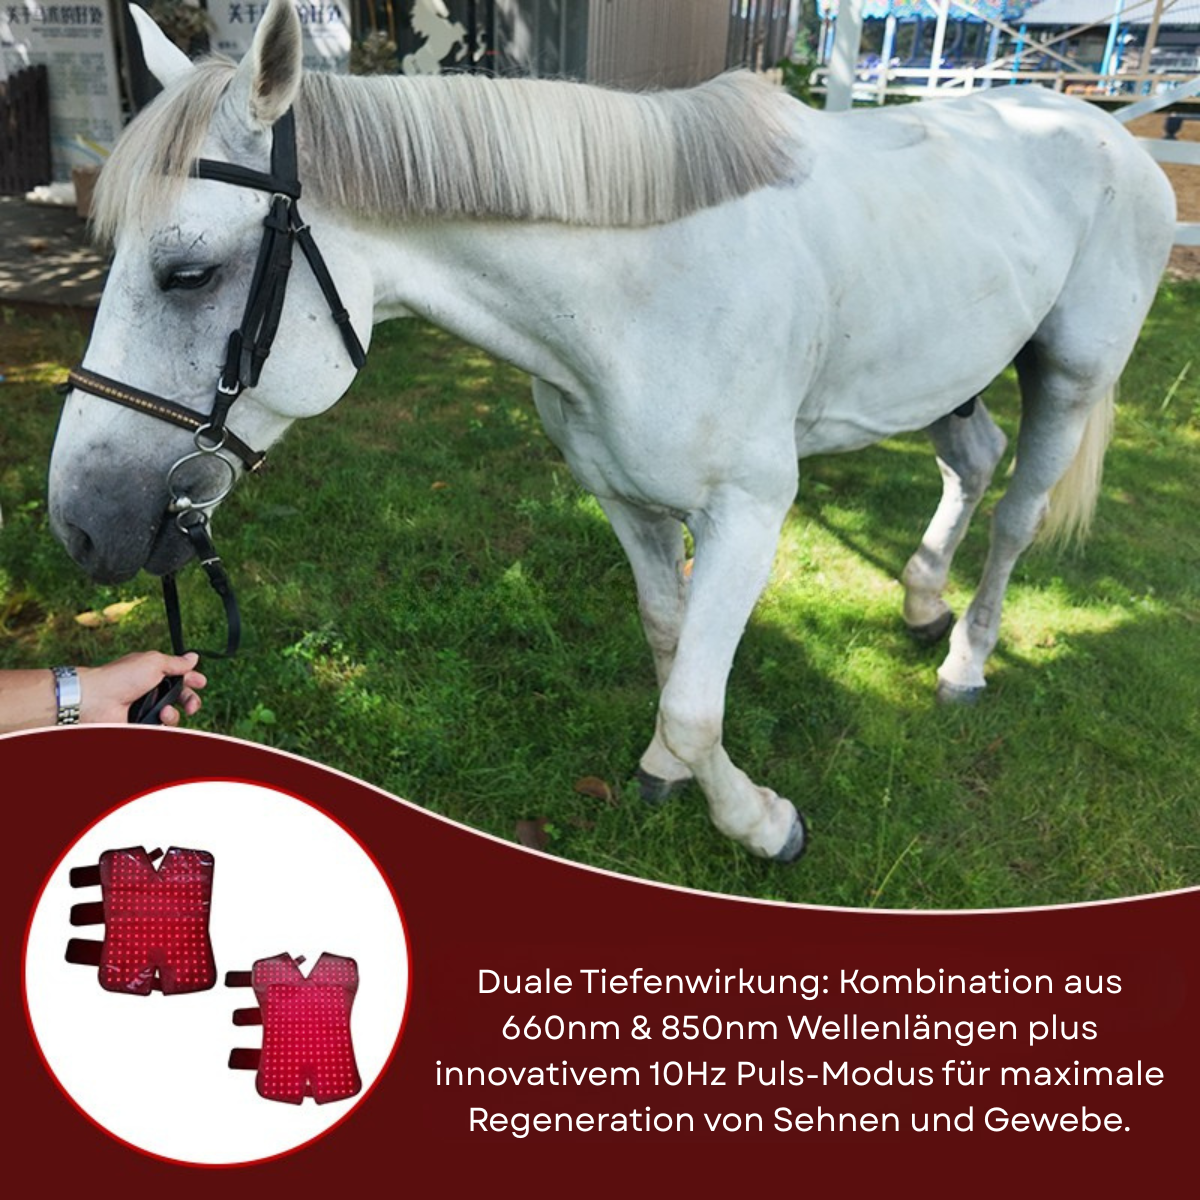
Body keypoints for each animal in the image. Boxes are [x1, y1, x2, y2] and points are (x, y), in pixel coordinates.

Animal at [48, 0, 1176, 863]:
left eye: (188, 272)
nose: (79, 526)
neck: (641, 290)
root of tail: (1116, 135)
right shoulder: (628, 502)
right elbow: (672, 645)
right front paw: (676, 778)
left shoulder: (752, 515)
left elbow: (693, 702)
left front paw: (760, 823)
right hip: (949, 376)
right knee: (971, 464)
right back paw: (921, 601)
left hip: (1070, 377)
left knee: (1019, 515)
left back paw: (966, 664)